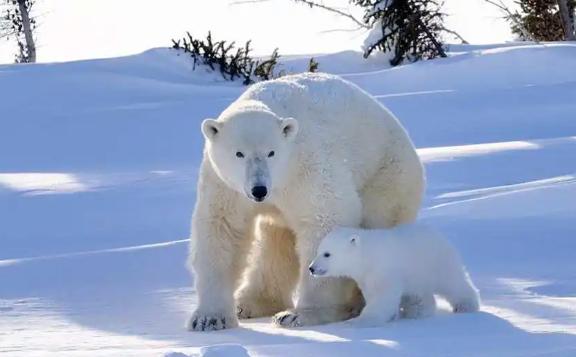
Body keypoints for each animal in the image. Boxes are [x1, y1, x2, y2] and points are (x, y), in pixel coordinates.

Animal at [189, 72, 424, 330]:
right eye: (239, 153)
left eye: (271, 152)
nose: (259, 190)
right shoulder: (225, 184)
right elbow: (223, 229)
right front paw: (210, 319)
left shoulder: (307, 168)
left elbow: (326, 220)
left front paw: (299, 315)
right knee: (276, 243)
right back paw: (251, 303)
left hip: (385, 179)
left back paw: (354, 305)